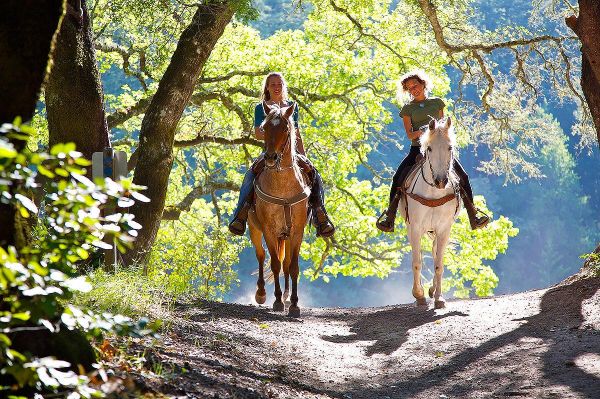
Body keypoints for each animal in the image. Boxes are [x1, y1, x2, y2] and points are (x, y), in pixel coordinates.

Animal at [246, 101, 310, 318]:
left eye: (285, 128)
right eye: (264, 128)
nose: (271, 158)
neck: (283, 188)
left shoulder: (297, 231)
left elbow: (293, 267)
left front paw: (294, 305)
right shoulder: (269, 230)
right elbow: (273, 263)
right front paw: (276, 301)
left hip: (287, 236)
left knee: (287, 263)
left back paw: (288, 296)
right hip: (254, 228)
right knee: (260, 255)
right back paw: (261, 294)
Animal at [400, 117, 462, 310]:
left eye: (450, 147)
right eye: (429, 148)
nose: (441, 181)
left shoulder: (444, 229)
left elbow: (438, 264)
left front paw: (439, 298)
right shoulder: (415, 227)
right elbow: (417, 262)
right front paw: (418, 295)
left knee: (435, 253)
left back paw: (433, 290)